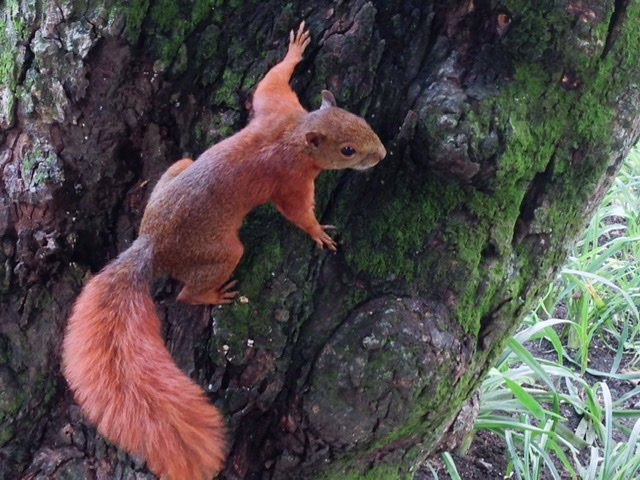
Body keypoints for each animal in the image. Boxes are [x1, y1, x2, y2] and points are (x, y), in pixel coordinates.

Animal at [62, 21, 384, 480]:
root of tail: (152, 245)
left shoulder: (277, 108)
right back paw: (212, 294)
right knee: (186, 293)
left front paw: (294, 51)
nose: (383, 153)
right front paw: (318, 231)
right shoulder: (290, 179)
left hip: (178, 166)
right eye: (347, 150)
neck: (294, 134)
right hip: (222, 251)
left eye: (361, 120)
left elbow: (269, 83)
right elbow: (296, 212)